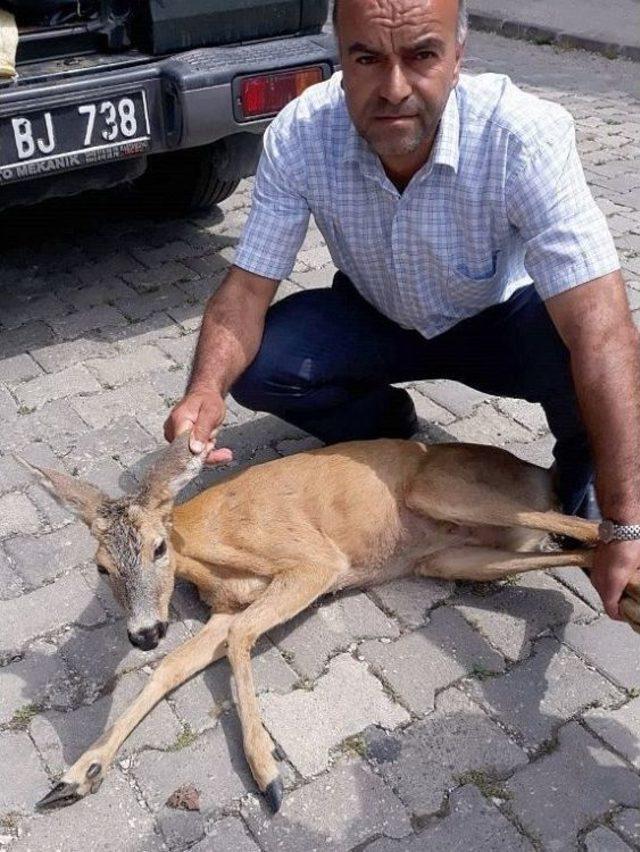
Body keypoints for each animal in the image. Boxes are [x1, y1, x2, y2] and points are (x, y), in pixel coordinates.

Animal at [30, 430, 640, 816]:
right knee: (577, 552)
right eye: (102, 567)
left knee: (585, 526)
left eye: (159, 548)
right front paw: (77, 773)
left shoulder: (315, 563)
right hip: (451, 556)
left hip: (442, 491)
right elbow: (171, 668)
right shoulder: (225, 607)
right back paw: (627, 601)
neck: (209, 549)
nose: (143, 633)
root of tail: (539, 474)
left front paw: (267, 772)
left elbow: (241, 637)